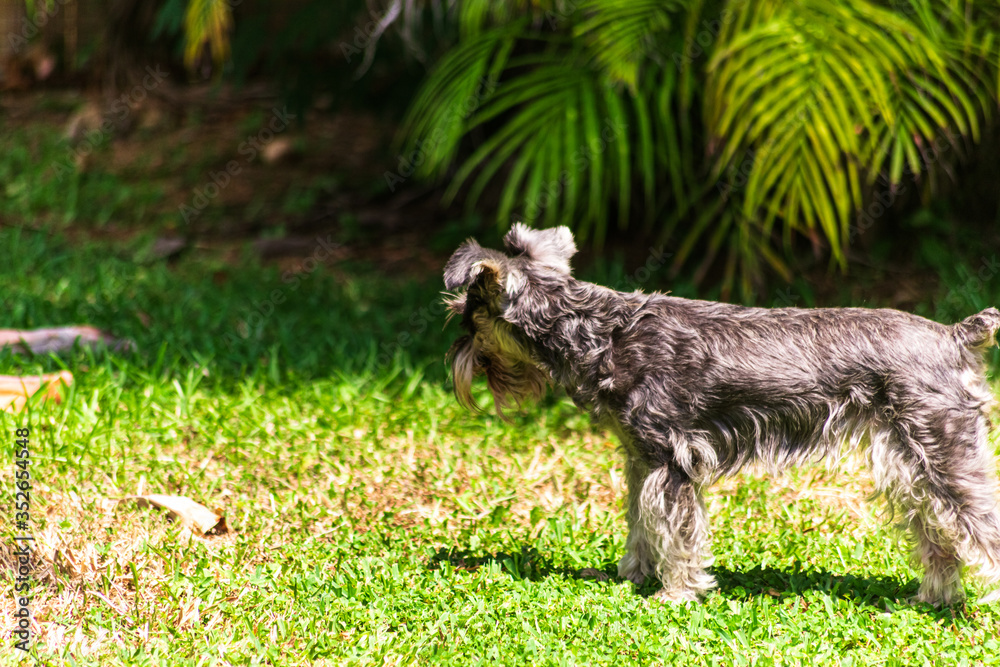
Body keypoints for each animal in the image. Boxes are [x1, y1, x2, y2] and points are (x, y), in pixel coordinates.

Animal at [444, 224, 1000, 604]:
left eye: (465, 315)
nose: (458, 362)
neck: (600, 332)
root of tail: (955, 334)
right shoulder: (641, 461)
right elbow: (640, 522)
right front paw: (632, 574)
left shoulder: (671, 464)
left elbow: (676, 533)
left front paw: (676, 594)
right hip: (910, 468)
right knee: (937, 536)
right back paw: (933, 597)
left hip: (946, 456)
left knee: (981, 526)